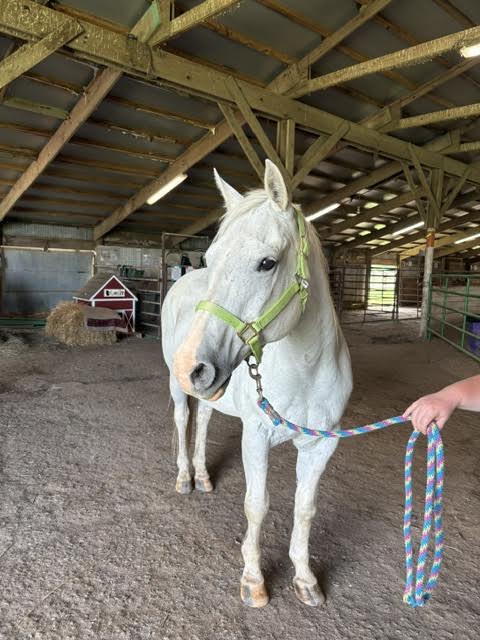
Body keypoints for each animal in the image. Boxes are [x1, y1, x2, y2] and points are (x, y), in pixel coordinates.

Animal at [161, 160, 352, 608]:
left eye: (267, 263)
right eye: (211, 257)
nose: (190, 365)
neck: (306, 371)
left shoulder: (322, 444)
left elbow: (305, 508)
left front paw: (306, 580)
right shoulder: (256, 436)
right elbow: (257, 505)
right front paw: (254, 581)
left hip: (211, 389)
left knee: (204, 422)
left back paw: (203, 476)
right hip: (180, 390)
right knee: (183, 420)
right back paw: (185, 479)